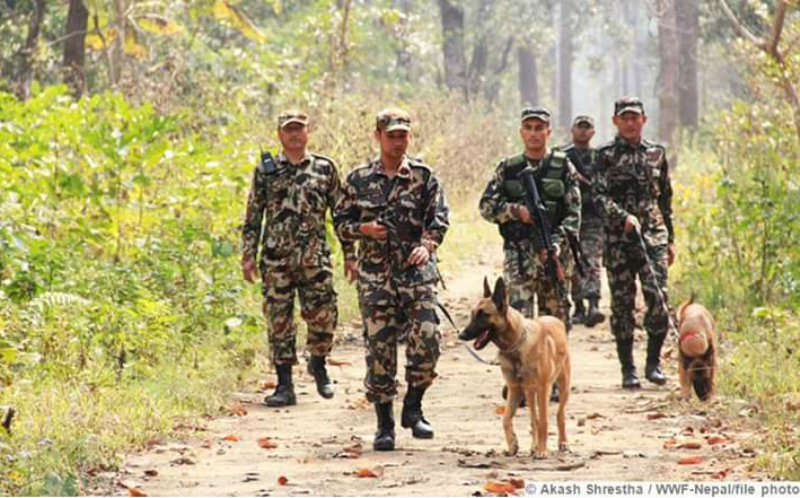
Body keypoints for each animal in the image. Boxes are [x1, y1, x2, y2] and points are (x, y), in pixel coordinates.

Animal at [456, 276, 568, 460]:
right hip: (529, 392)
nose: (461, 335)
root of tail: (555, 319)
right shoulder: (514, 389)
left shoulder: (543, 388)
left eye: (484, 315)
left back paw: (562, 442)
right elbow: (506, 419)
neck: (515, 346)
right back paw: (533, 446)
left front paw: (542, 450)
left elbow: (544, 421)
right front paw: (513, 445)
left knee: (559, 414)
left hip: (562, 386)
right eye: (472, 314)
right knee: (533, 419)